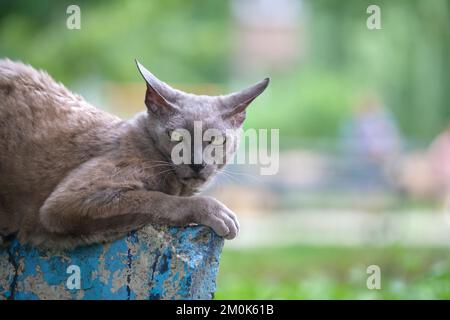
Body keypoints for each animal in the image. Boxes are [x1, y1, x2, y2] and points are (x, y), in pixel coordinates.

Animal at [0, 58, 268, 249]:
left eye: (216, 139)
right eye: (176, 136)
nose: (196, 163)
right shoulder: (64, 202)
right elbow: (157, 199)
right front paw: (217, 213)